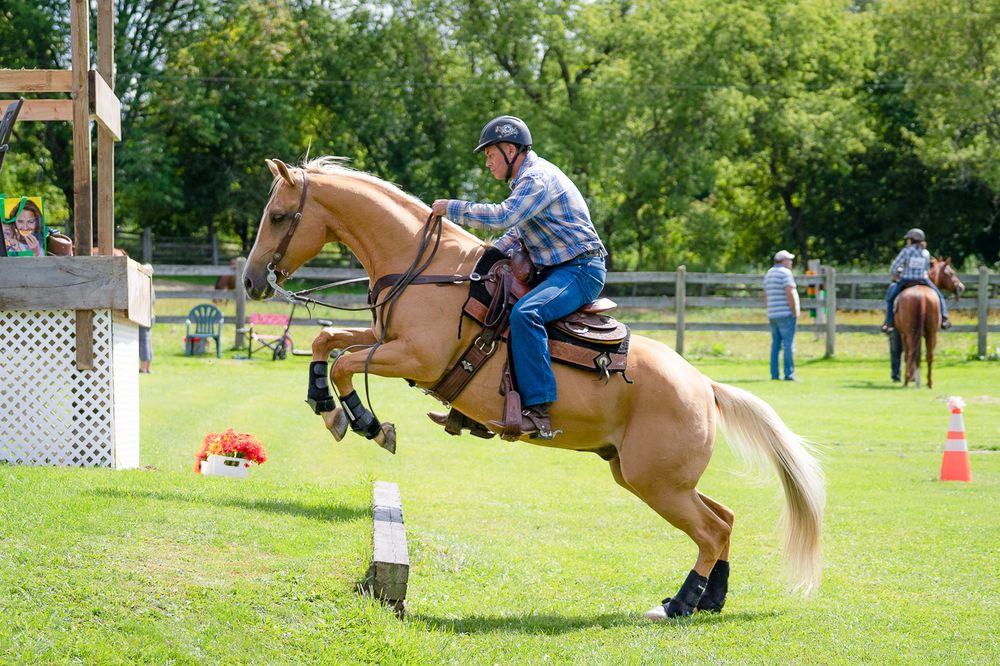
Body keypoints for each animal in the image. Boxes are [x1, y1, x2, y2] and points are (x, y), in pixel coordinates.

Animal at [242, 157, 825, 619]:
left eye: (278, 216)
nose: (250, 281)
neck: (428, 270)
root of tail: (704, 385)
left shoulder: (413, 356)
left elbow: (345, 366)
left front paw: (363, 421)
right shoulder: (384, 338)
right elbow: (327, 341)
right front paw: (326, 405)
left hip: (657, 483)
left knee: (711, 531)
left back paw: (679, 604)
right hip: (650, 476)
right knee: (724, 519)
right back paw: (710, 600)